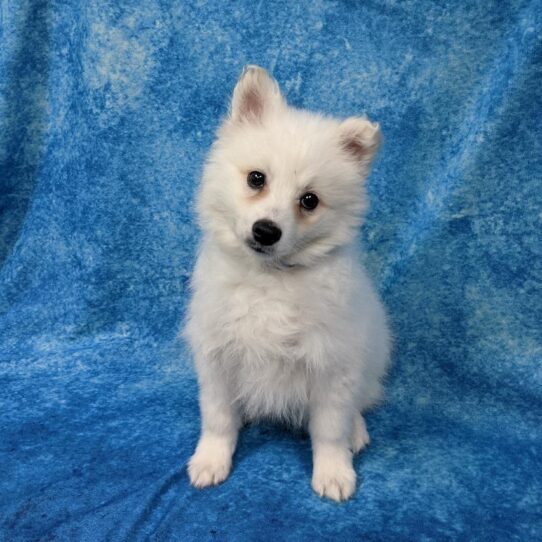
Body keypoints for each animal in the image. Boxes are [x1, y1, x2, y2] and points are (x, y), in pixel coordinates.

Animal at [186, 66, 392, 504]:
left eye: (309, 200)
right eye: (256, 179)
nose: (266, 231)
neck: (271, 278)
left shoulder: (334, 362)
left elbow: (329, 428)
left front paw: (333, 473)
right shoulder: (217, 355)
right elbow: (218, 417)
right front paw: (211, 461)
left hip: (371, 360)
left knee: (358, 402)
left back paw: (356, 431)